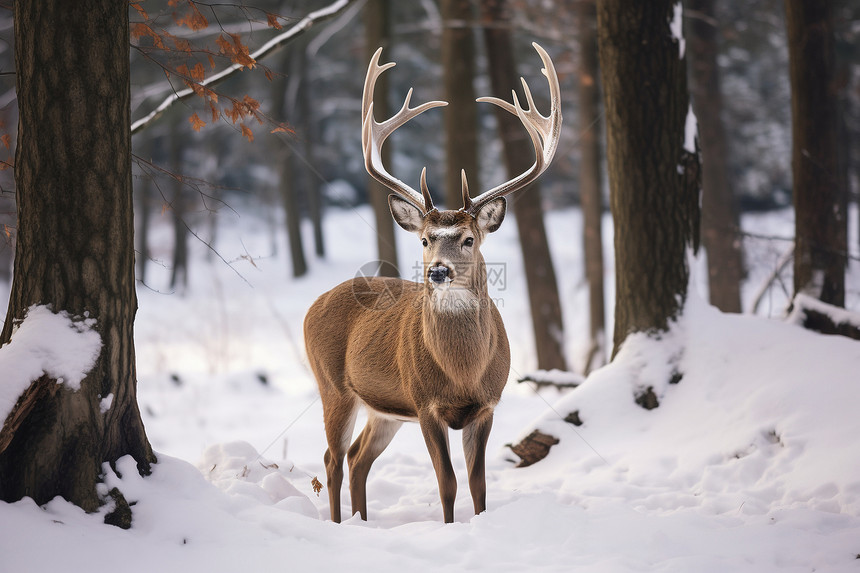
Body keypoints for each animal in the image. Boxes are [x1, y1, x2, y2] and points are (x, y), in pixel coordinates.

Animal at [304, 41, 564, 524]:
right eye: (425, 239)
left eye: (468, 238)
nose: (437, 270)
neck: (462, 373)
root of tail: (315, 304)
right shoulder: (424, 403)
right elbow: (448, 483)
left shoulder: (486, 405)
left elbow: (479, 484)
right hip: (332, 386)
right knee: (333, 458)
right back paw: (339, 524)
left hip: (384, 411)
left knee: (358, 458)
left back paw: (363, 521)